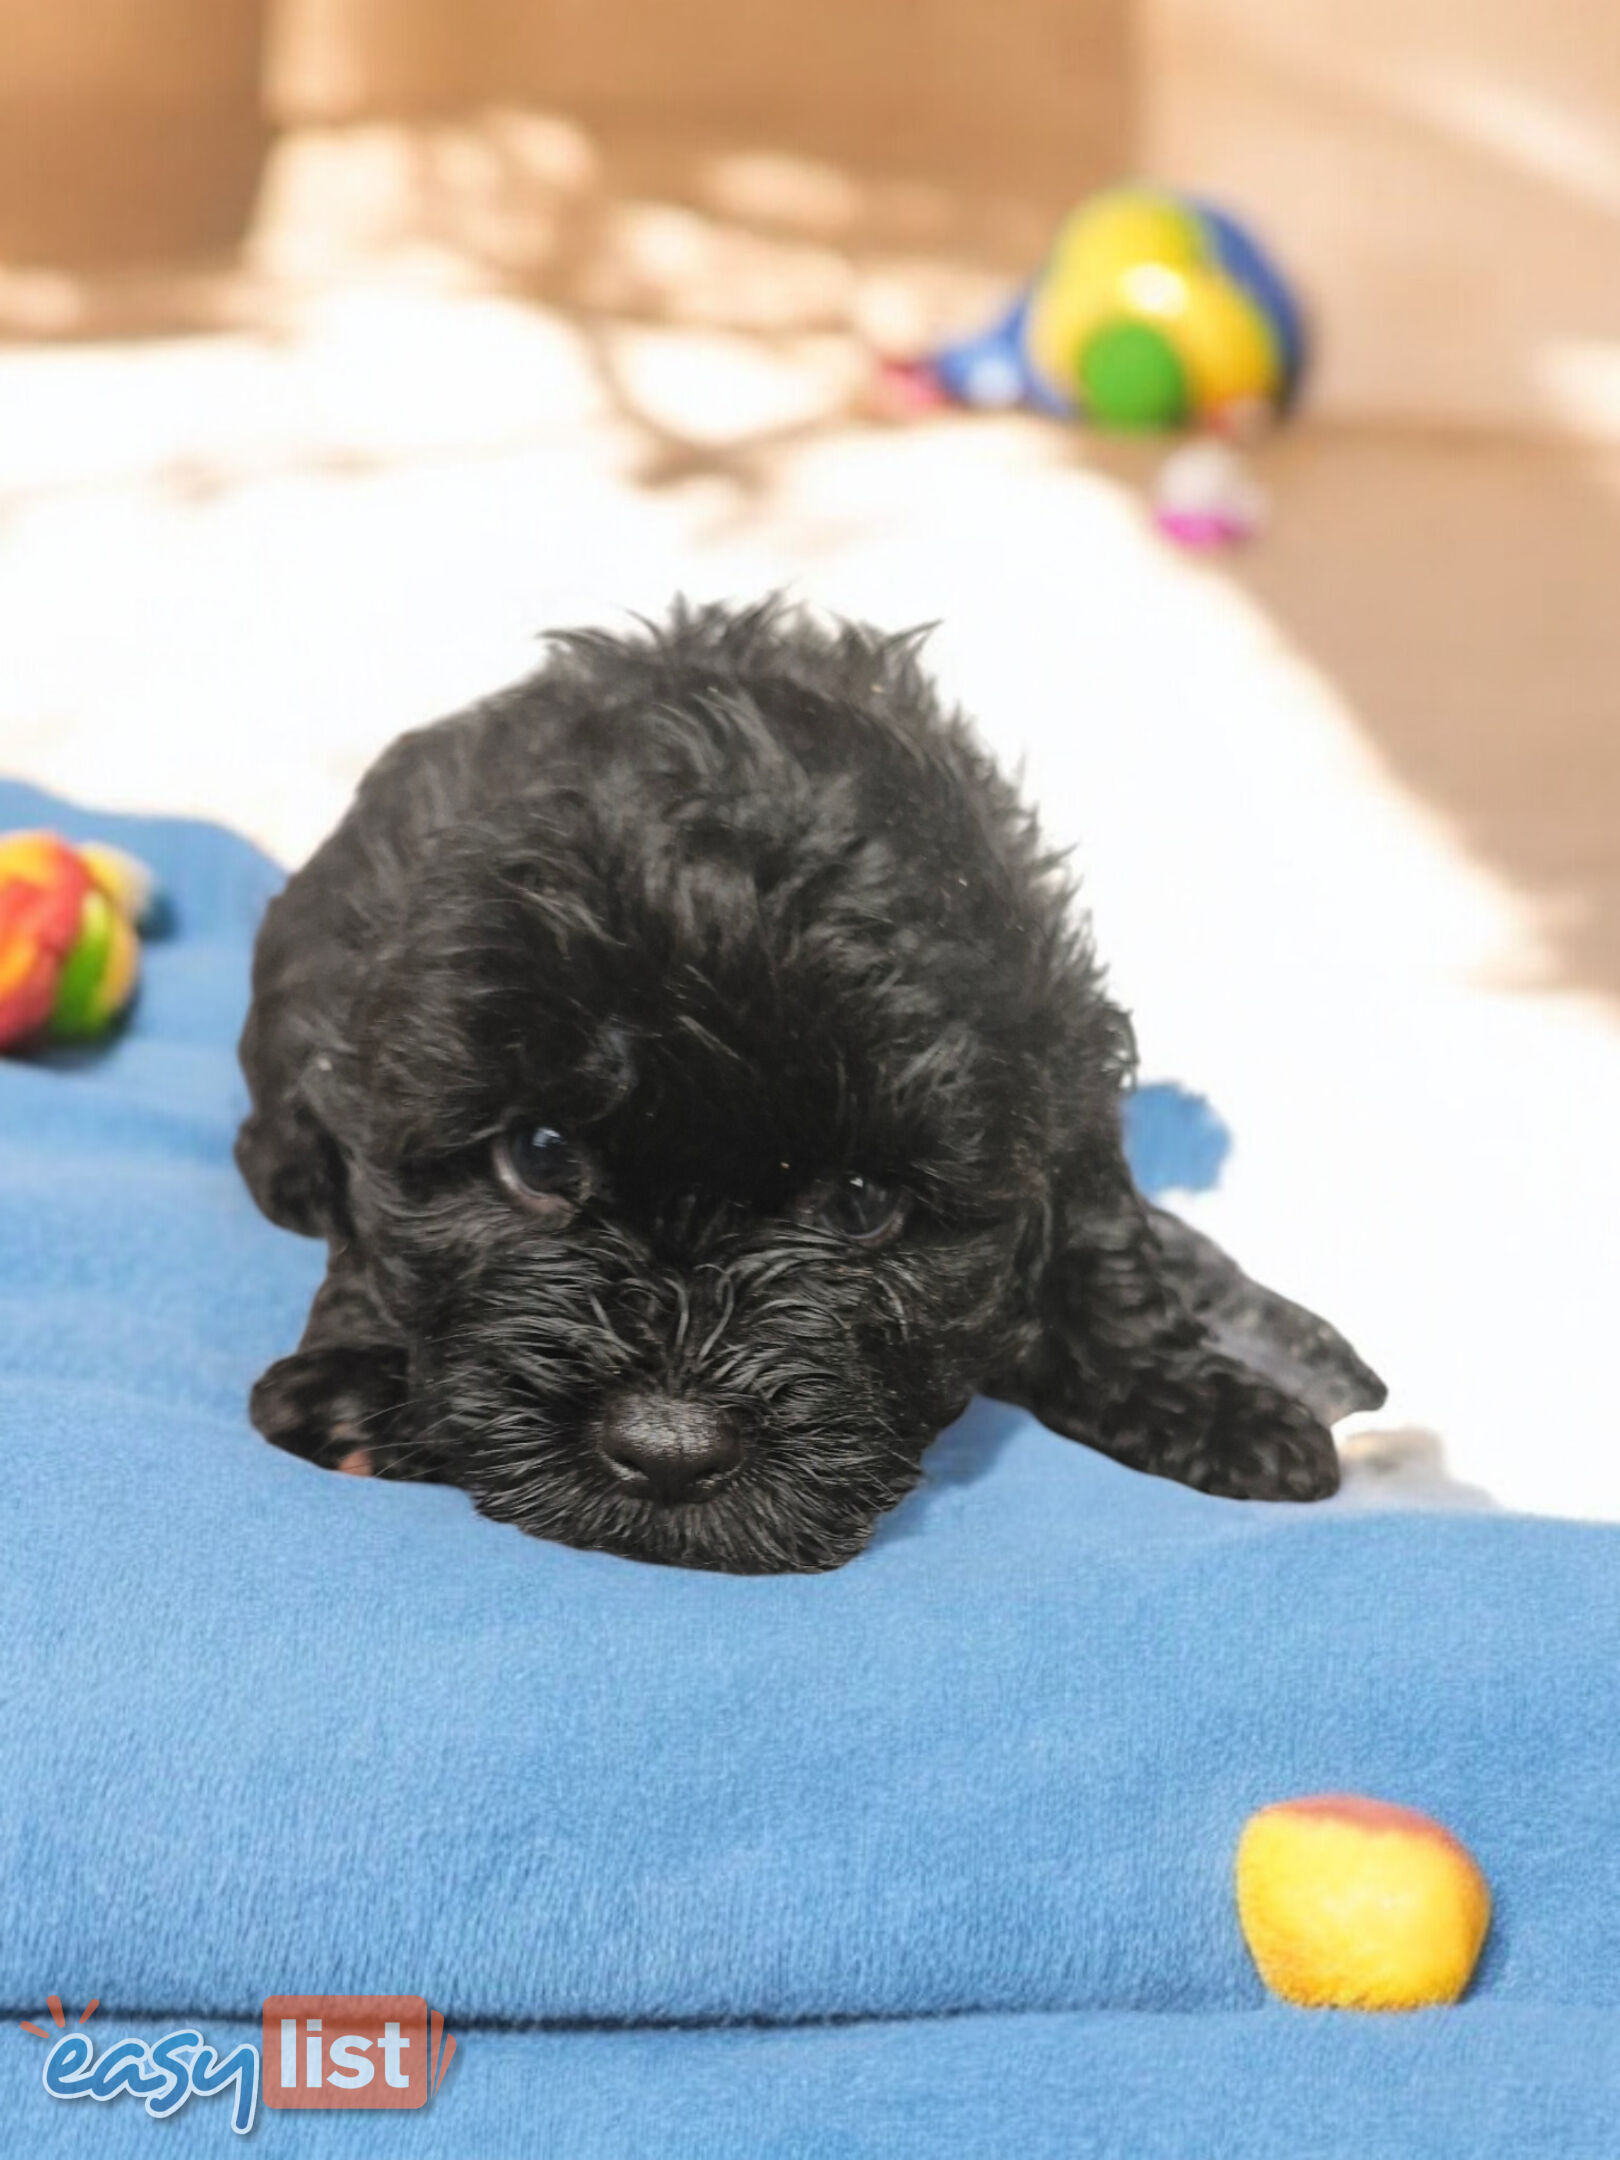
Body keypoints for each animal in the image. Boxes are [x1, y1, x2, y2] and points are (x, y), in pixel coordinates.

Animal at [240, 600, 1382, 1581]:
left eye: (864, 1204)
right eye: (541, 1156)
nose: (667, 1450)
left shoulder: (1067, 1061)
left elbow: (1106, 1250)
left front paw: (1208, 1403)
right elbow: (374, 1245)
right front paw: (356, 1381)